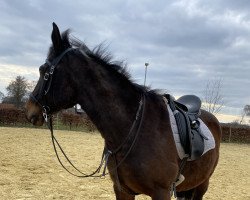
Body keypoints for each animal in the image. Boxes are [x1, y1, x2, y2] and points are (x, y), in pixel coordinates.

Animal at [25, 22, 221, 199]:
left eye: (43, 71)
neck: (133, 127)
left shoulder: (161, 192)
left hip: (202, 184)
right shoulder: (122, 190)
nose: (30, 112)